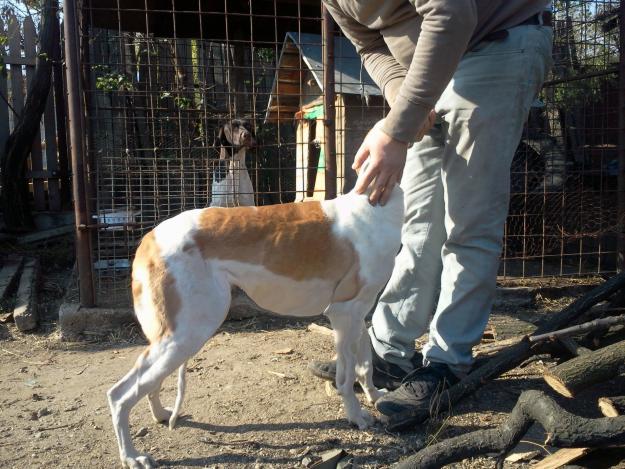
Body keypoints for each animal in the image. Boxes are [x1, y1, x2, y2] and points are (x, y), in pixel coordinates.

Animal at [107, 163, 404, 466]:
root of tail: (149, 237)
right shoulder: (344, 313)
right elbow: (345, 377)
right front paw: (356, 417)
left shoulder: (360, 311)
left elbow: (365, 364)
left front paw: (374, 395)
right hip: (190, 332)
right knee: (119, 394)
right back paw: (131, 456)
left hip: (175, 335)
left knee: (147, 383)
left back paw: (160, 416)